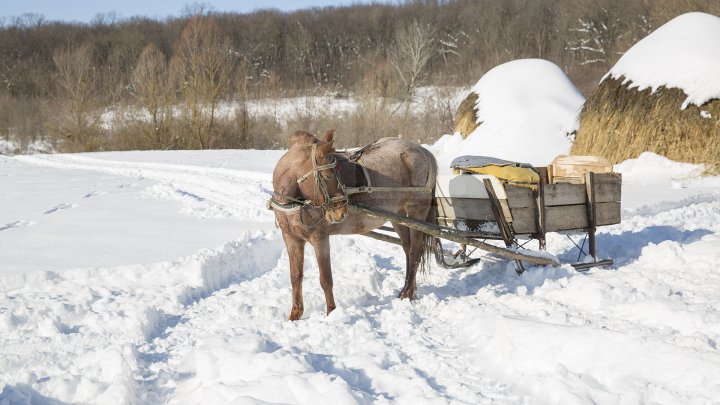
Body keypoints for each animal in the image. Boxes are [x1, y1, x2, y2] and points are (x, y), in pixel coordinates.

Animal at [270, 129, 438, 318]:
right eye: (328, 175)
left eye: (334, 173)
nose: (340, 211)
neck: (294, 202)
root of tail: (423, 151)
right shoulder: (291, 238)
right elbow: (295, 276)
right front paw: (295, 315)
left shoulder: (320, 238)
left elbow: (325, 278)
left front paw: (331, 313)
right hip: (399, 215)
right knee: (408, 250)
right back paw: (408, 290)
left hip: (417, 212)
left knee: (415, 252)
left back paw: (408, 293)